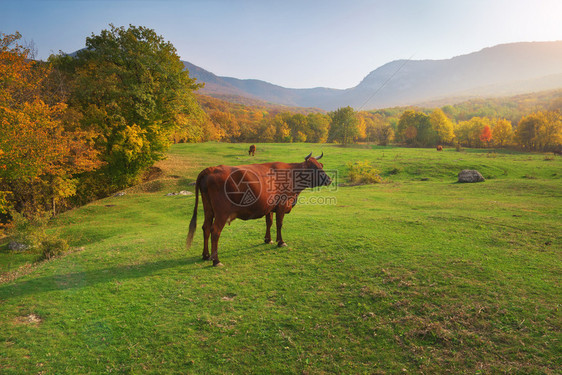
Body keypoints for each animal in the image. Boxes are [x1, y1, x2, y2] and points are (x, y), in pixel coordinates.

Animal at [186, 153, 330, 268]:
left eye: (321, 165)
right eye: (315, 168)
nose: (329, 179)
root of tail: (211, 169)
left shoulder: (270, 207)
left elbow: (269, 222)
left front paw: (268, 239)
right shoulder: (282, 205)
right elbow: (279, 224)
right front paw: (281, 242)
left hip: (208, 209)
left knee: (205, 227)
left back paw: (206, 255)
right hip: (222, 213)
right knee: (215, 231)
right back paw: (216, 261)